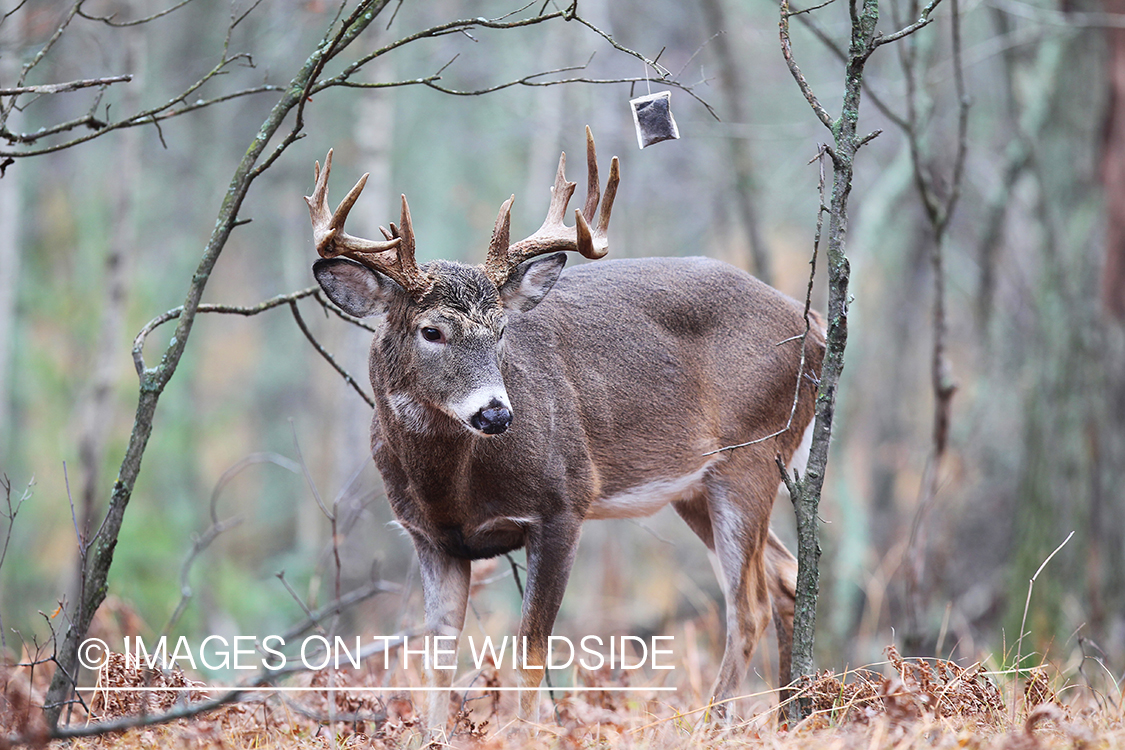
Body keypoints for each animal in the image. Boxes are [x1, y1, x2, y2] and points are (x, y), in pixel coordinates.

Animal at [308, 129, 828, 733]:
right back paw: (791, 716)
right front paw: (431, 736)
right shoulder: (431, 537)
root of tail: (814, 325)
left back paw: (714, 723)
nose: (495, 414)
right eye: (430, 330)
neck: (452, 488)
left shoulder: (562, 504)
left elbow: (531, 651)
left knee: (749, 606)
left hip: (752, 457)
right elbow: (436, 657)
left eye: (502, 330)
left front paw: (524, 734)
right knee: (785, 578)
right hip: (697, 487)